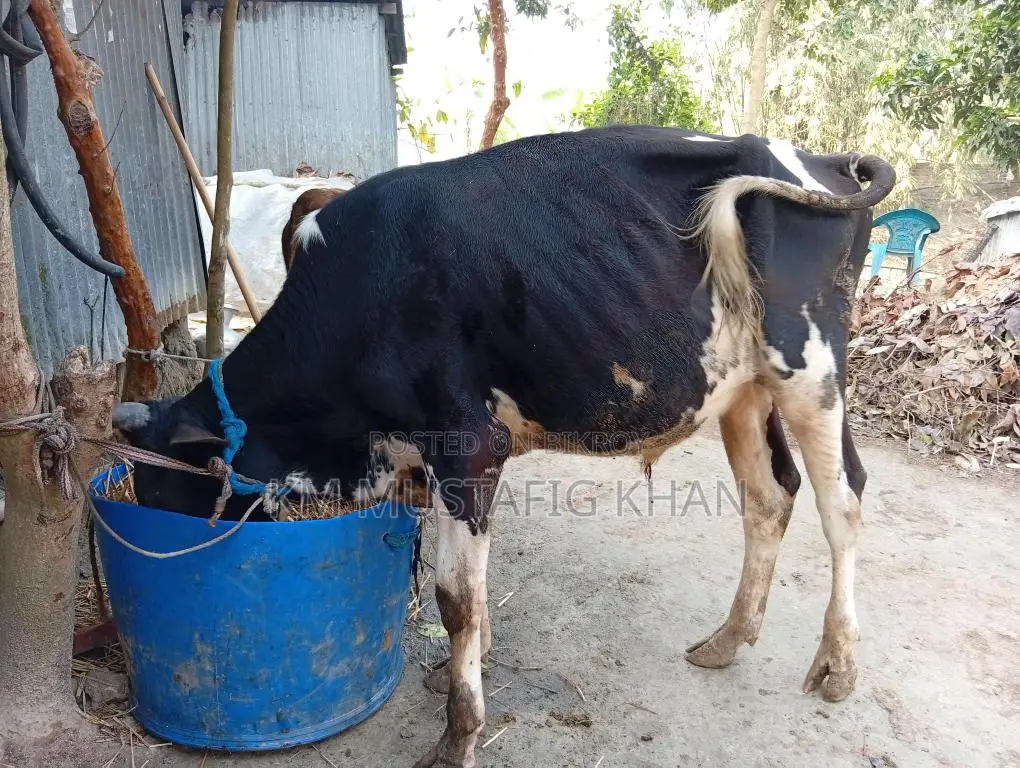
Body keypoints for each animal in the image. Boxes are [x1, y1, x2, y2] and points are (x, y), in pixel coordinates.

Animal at [113, 125, 894, 768]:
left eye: (169, 490)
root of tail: (823, 161)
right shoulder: (427, 454)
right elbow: (464, 584)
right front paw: (467, 664)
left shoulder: (467, 444)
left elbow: (454, 595)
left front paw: (458, 737)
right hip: (741, 388)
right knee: (770, 497)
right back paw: (728, 639)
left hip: (812, 369)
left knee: (843, 502)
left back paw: (838, 664)